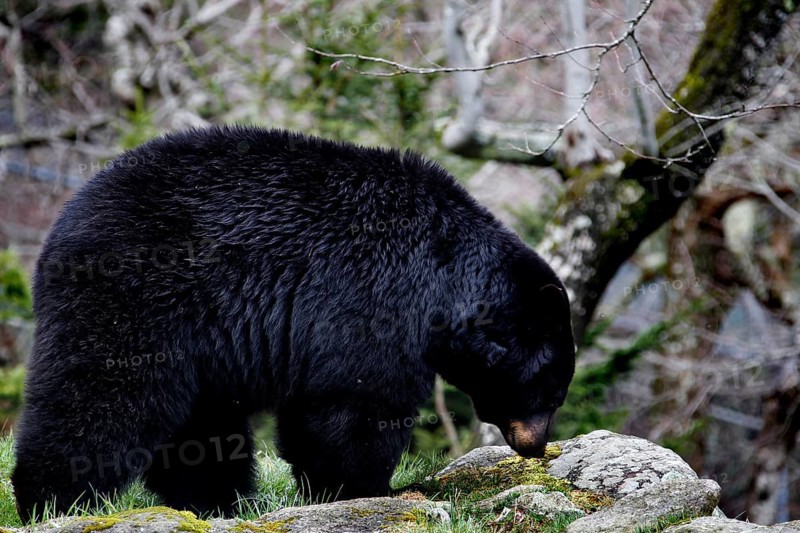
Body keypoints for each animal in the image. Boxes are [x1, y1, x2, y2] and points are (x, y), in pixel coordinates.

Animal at [12, 125, 575, 521]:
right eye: (551, 391)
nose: (535, 447)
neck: (445, 278)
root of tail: (62, 225)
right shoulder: (373, 295)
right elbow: (354, 404)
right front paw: (360, 491)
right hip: (137, 298)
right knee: (104, 397)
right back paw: (50, 502)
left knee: (202, 427)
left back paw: (215, 503)